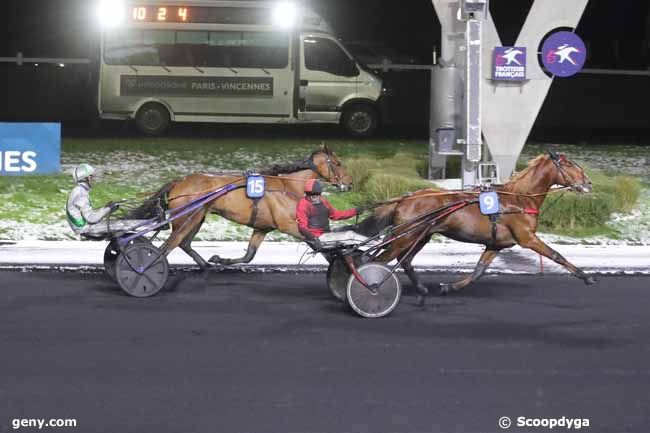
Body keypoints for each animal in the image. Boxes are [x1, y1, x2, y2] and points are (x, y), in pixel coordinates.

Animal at [132, 145, 352, 266]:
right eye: (338, 163)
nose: (349, 184)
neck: (287, 186)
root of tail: (180, 181)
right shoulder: (288, 225)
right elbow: (317, 243)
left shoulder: (262, 227)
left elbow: (249, 256)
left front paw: (220, 260)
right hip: (188, 218)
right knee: (168, 246)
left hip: (198, 217)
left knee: (183, 243)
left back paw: (204, 265)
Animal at [356, 150, 596, 296]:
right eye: (570, 164)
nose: (588, 183)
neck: (519, 199)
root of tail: (405, 198)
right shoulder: (527, 238)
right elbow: (557, 255)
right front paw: (586, 277)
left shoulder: (496, 244)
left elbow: (478, 271)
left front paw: (449, 286)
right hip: (406, 236)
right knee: (376, 259)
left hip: (420, 235)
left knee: (403, 260)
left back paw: (421, 288)